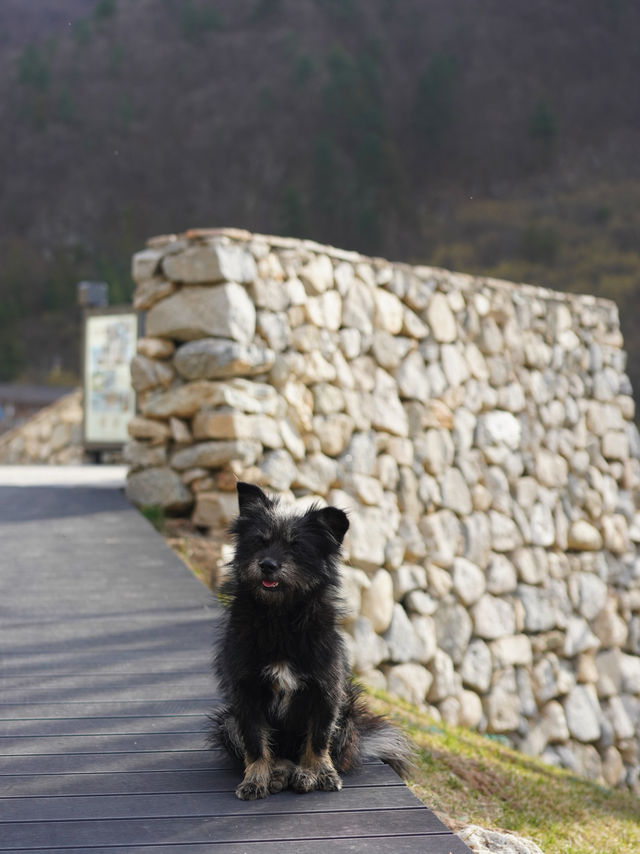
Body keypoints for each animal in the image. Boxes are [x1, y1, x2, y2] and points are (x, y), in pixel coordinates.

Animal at [210, 482, 410, 804]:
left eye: (296, 547)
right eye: (259, 542)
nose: (267, 565)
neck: (279, 616)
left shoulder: (326, 692)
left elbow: (318, 740)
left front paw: (321, 773)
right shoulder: (246, 693)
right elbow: (255, 743)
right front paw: (255, 779)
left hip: (348, 715)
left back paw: (304, 773)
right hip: (227, 723)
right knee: (275, 755)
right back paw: (279, 773)